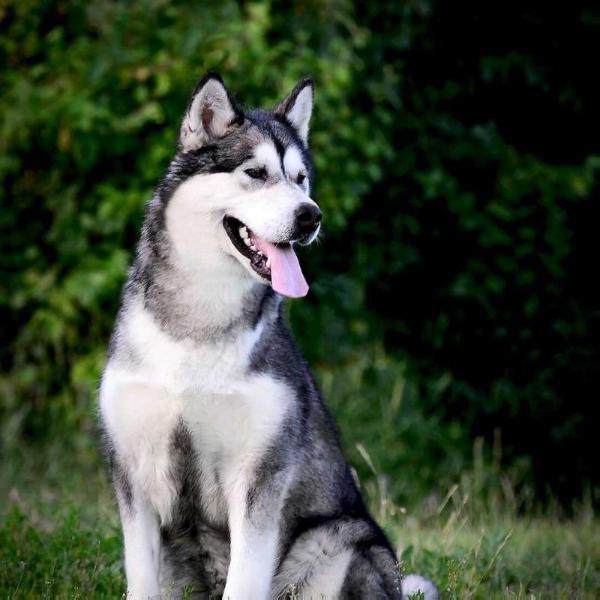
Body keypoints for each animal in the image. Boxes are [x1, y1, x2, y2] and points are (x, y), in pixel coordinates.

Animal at [97, 71, 436, 600]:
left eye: (300, 179)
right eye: (255, 173)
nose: (310, 216)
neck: (199, 326)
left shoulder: (260, 478)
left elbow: (244, 580)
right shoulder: (134, 476)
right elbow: (140, 580)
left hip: (341, 536)